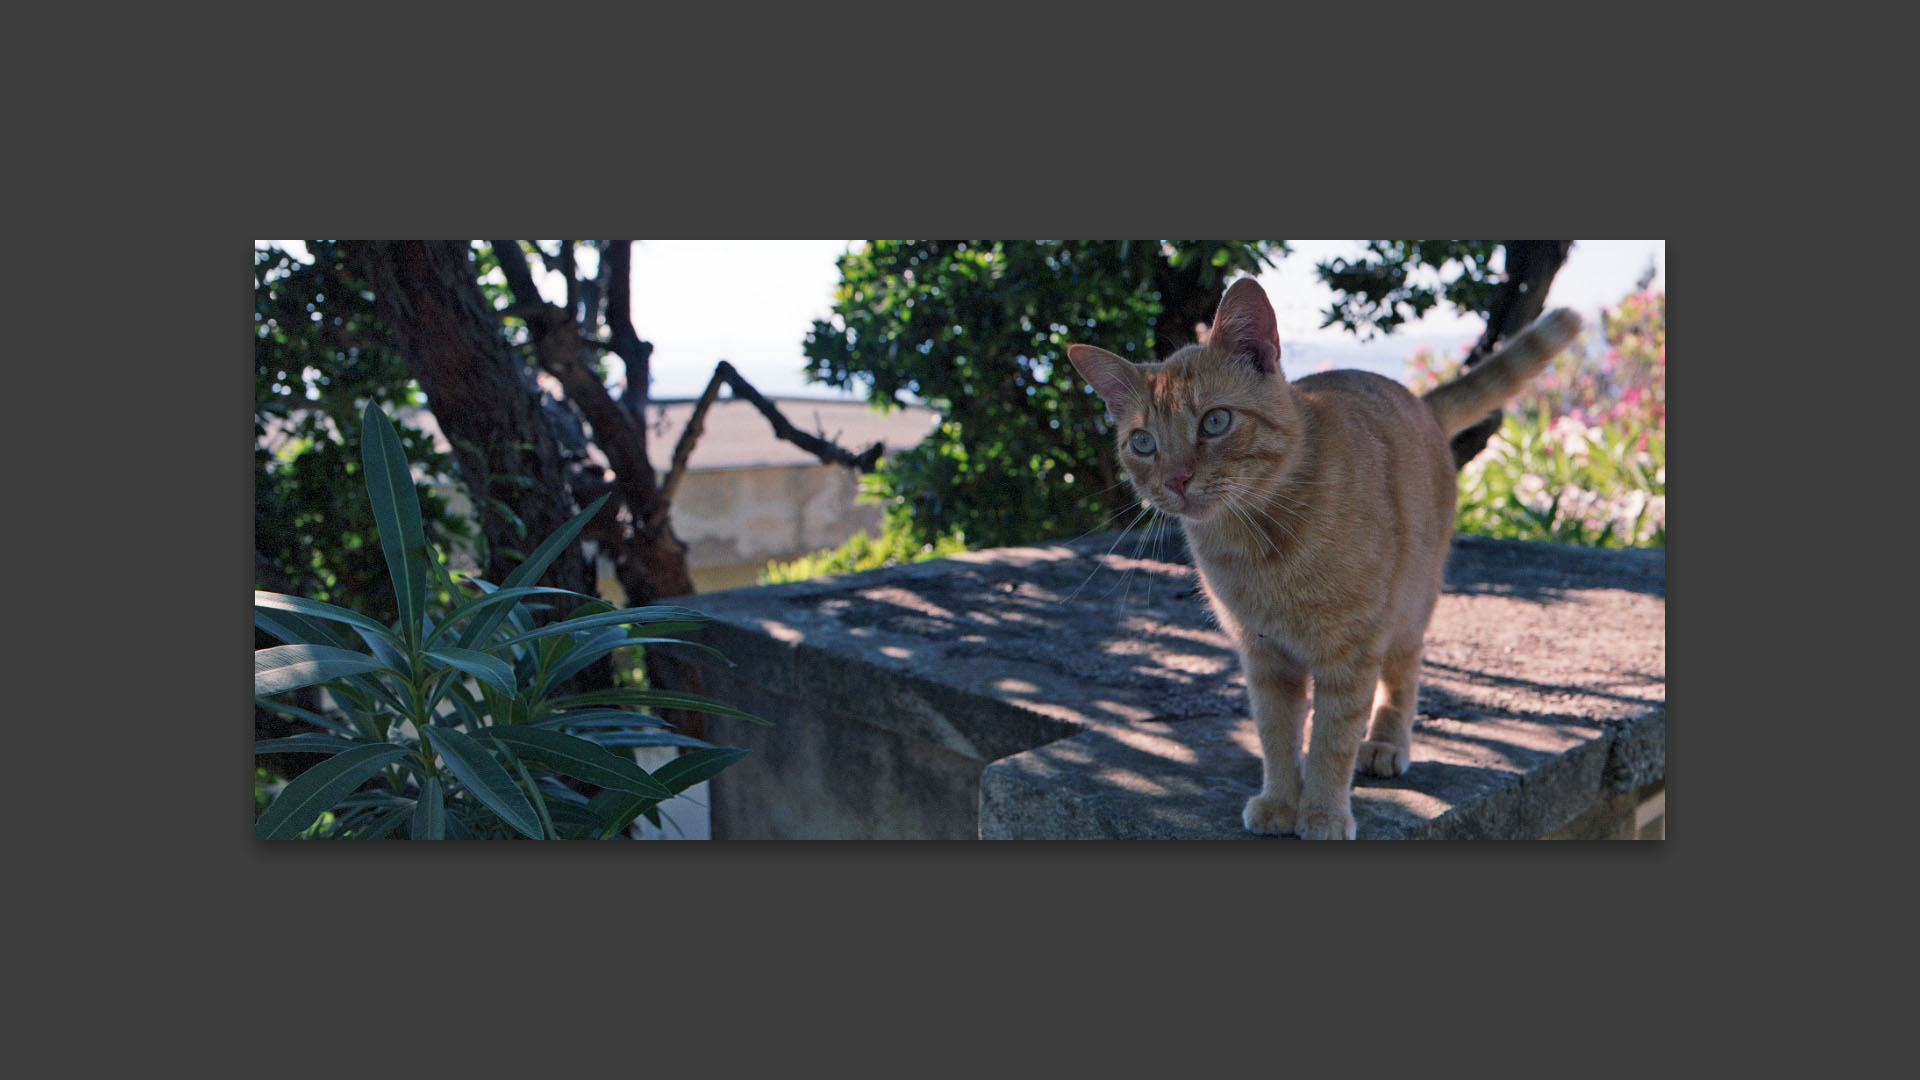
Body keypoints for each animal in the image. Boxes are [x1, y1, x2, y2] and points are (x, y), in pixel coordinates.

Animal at [1067, 274, 1574, 834]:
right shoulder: (1265, 660)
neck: (1257, 546)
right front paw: (1280, 802)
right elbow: (1277, 736)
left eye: (1216, 421)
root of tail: (1416, 400)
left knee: (1403, 676)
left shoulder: (1351, 653)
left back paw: (1385, 744)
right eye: (1142, 442)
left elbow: (1333, 739)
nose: (1176, 479)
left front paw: (1323, 811)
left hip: (1409, 608)